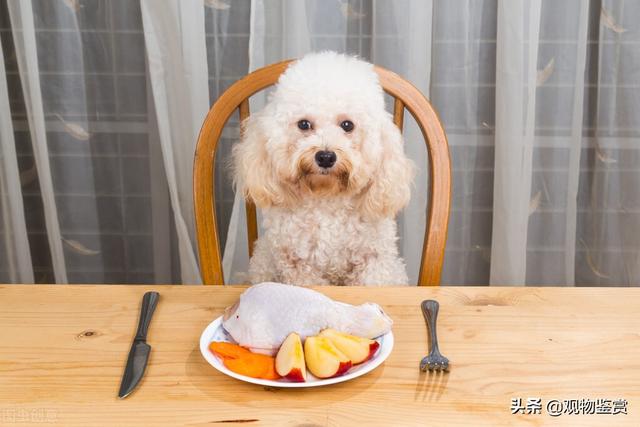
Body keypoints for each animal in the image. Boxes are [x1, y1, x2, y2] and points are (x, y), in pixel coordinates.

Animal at [232, 52, 412, 288]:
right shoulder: (299, 265)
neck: (326, 199)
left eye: (347, 125)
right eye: (304, 124)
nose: (326, 157)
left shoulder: (373, 261)